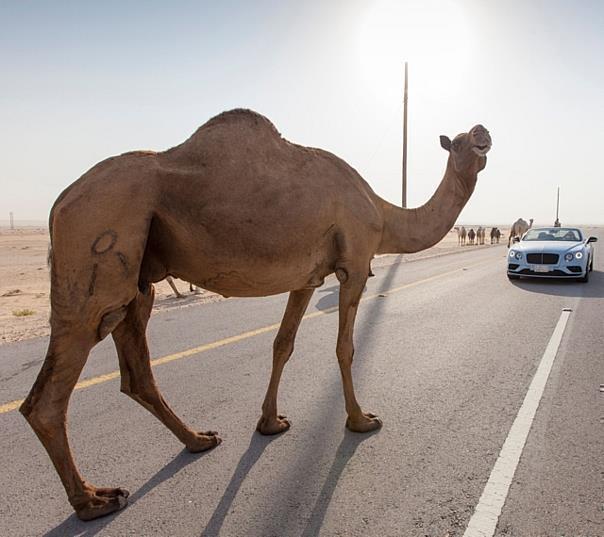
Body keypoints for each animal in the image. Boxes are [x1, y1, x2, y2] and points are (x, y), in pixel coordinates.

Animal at [20, 109, 490, 520]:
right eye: (459, 142)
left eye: (473, 135)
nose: (483, 131)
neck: (383, 214)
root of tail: (58, 204)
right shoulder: (355, 262)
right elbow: (345, 347)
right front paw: (361, 420)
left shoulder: (307, 277)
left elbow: (283, 343)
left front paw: (270, 422)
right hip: (97, 249)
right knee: (48, 396)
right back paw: (93, 500)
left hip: (137, 280)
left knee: (136, 371)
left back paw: (198, 440)